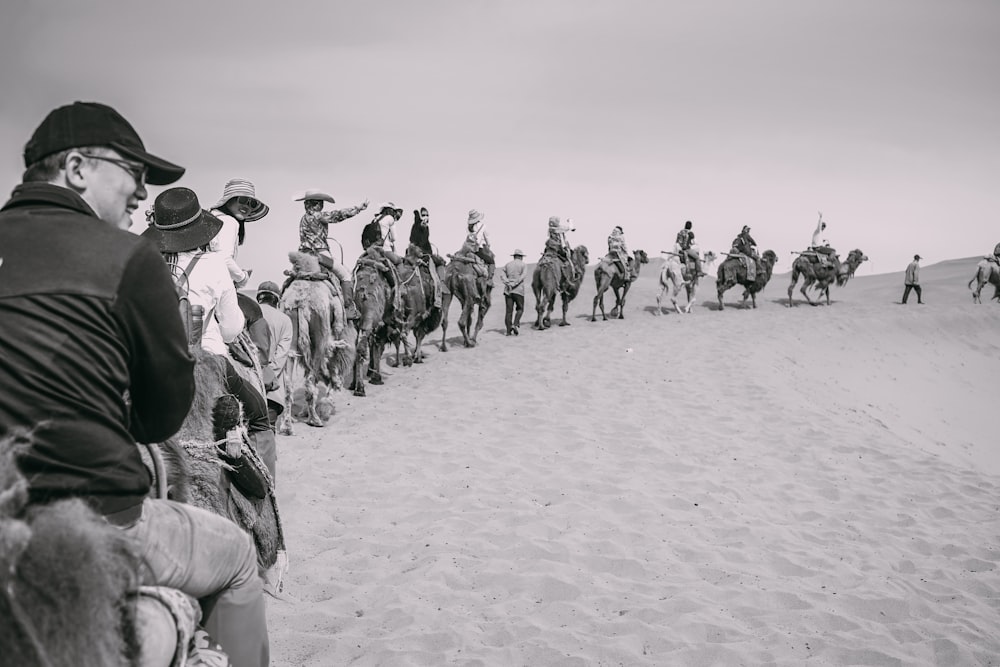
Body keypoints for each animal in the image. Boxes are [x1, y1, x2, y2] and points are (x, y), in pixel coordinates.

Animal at [280, 252, 358, 434]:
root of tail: (300, 301)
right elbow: (332, 372)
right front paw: (325, 406)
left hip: (291, 337)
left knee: (289, 384)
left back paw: (287, 425)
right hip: (321, 339)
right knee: (311, 380)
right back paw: (315, 419)